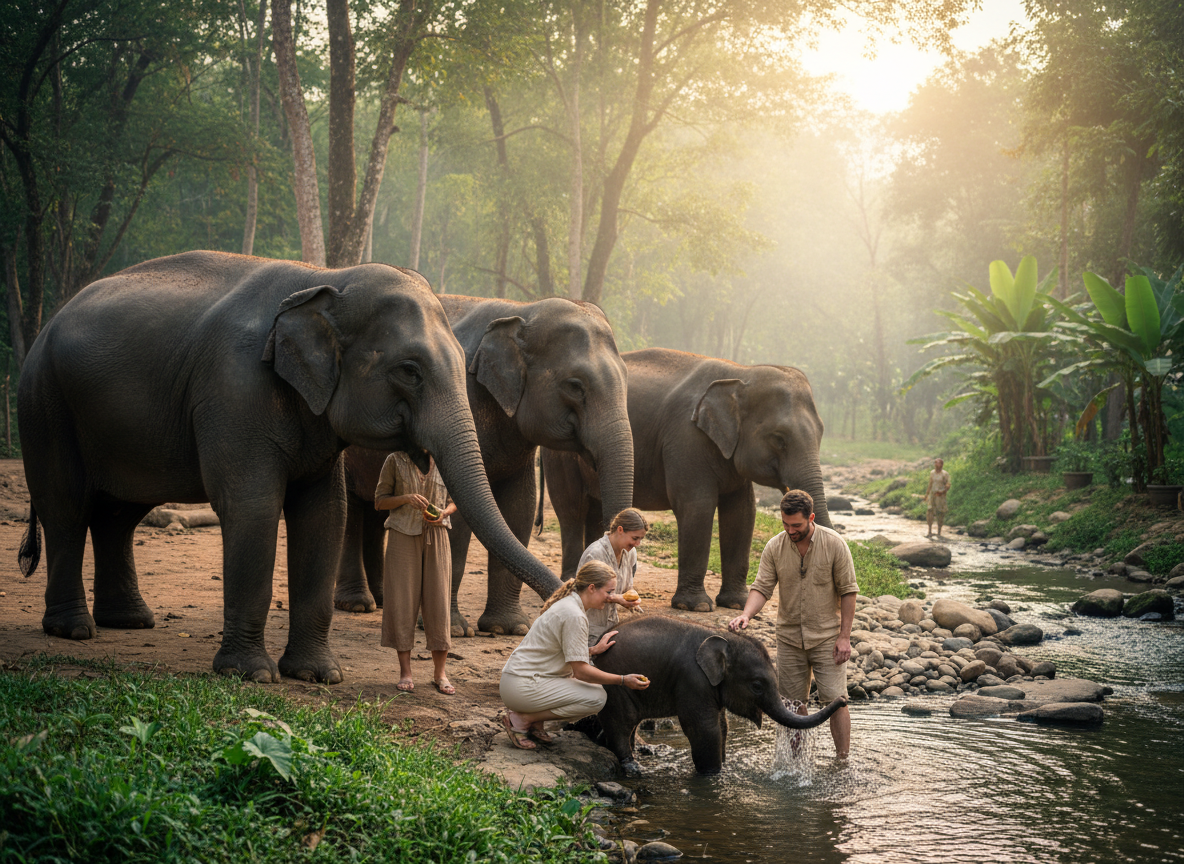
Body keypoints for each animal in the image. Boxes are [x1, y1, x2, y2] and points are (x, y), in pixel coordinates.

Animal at [16, 251, 560, 684]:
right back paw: (73, 630)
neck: (326, 279)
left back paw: (130, 622)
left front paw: (319, 676)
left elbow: (325, 514)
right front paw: (251, 675)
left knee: (119, 514)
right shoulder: (234, 391)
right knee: (66, 509)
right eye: (409, 371)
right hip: (44, 404)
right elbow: (253, 508)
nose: (567, 595)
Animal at [333, 295, 633, 636]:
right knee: (352, 511)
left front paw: (510, 627)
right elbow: (458, 520)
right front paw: (454, 630)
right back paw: (357, 604)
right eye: (575, 386)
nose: (568, 591)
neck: (521, 311)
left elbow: (519, 510)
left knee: (375, 509)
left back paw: (383, 601)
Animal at [542, 348, 830, 612]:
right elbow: (697, 507)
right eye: (779, 439)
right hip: (560, 452)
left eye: (821, 433)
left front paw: (736, 603)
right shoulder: (686, 438)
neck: (741, 373)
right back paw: (570, 579)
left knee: (592, 508)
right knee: (572, 509)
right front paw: (697, 606)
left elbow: (742, 513)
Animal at [591, 615, 847, 775]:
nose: (843, 699)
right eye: (757, 685)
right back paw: (633, 767)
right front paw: (712, 775)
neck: (724, 638)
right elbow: (706, 729)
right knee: (621, 725)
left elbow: (723, 726)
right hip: (613, 686)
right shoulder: (693, 680)